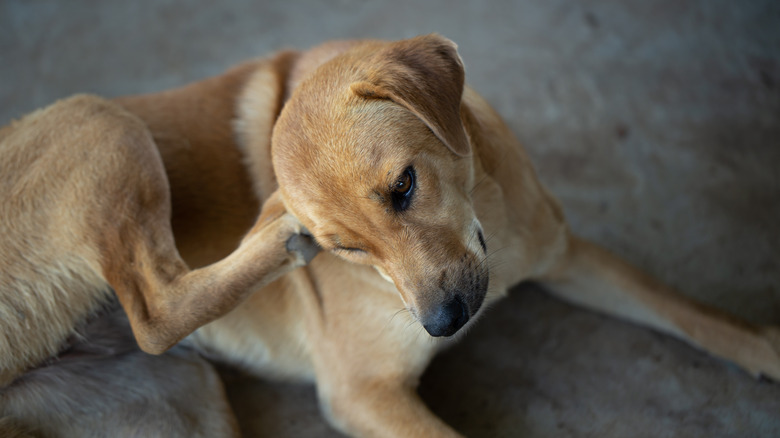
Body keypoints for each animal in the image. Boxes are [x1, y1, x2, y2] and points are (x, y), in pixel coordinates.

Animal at [1, 35, 780, 438]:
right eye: (346, 248)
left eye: (404, 186)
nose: (444, 322)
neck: (489, 220)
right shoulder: (364, 393)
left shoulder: (568, 255)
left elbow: (689, 311)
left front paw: (764, 347)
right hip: (99, 118)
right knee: (155, 308)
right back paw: (273, 239)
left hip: (184, 398)